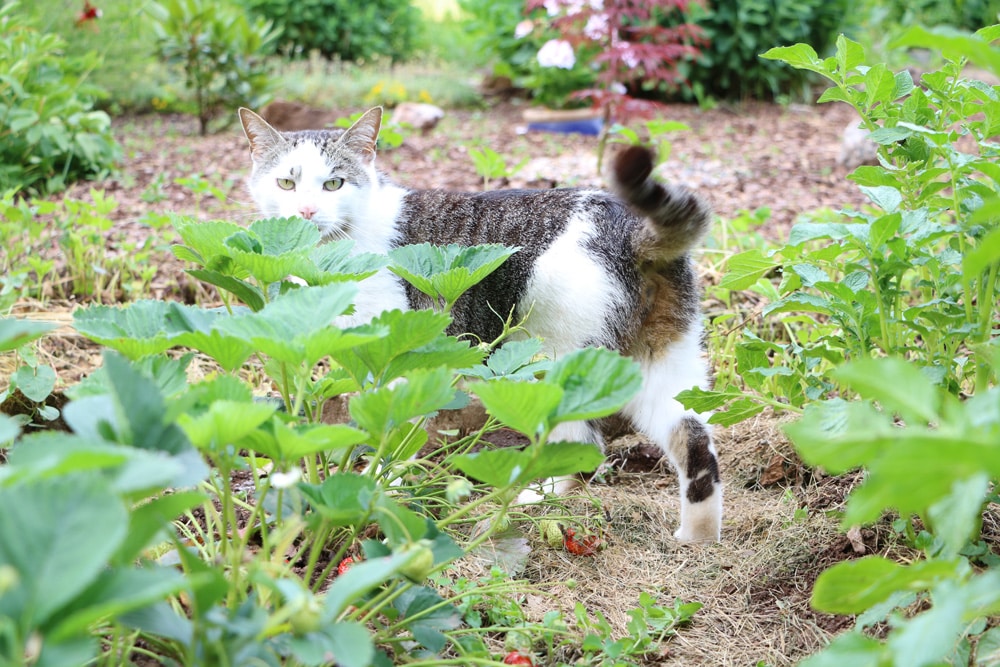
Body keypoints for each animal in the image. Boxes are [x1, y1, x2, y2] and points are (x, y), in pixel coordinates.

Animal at [238, 104, 724, 544]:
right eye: (286, 182)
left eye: (334, 183)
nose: (305, 212)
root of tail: (626, 227)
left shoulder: (393, 351)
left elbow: (390, 427)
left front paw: (382, 488)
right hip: (665, 358)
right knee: (695, 439)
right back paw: (697, 539)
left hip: (556, 364)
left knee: (583, 448)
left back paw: (529, 498)